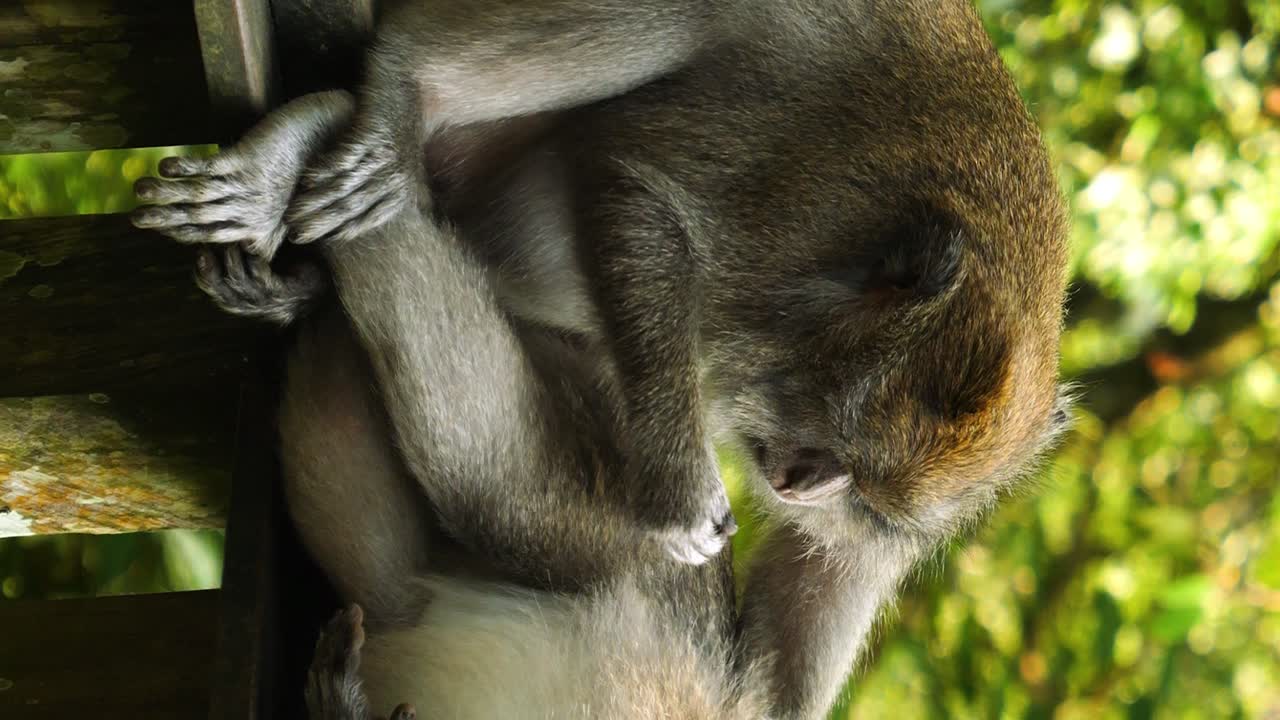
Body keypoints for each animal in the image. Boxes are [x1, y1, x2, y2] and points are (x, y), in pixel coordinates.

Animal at [132, 0, 1075, 717]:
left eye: (862, 495)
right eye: (825, 441)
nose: (798, 483)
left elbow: (798, 631)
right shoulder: (795, 214)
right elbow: (641, 193)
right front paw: (680, 486)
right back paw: (373, 101)